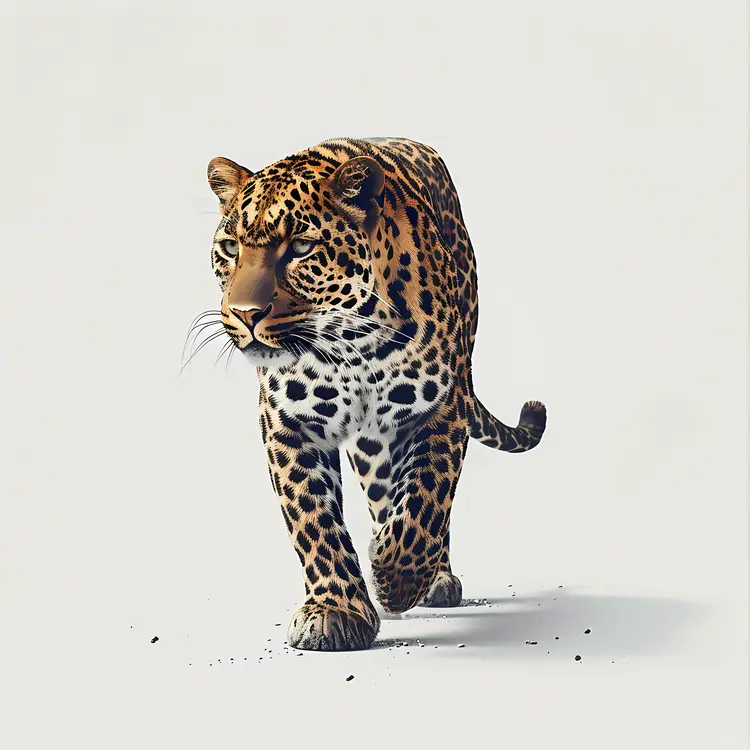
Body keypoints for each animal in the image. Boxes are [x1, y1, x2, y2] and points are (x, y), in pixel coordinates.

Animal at [201, 137, 547, 651]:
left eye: (301, 247)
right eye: (229, 248)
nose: (244, 313)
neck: (347, 346)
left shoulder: (441, 409)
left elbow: (426, 498)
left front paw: (396, 578)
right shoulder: (288, 421)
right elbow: (313, 519)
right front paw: (335, 610)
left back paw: (432, 580)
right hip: (373, 445)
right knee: (384, 492)